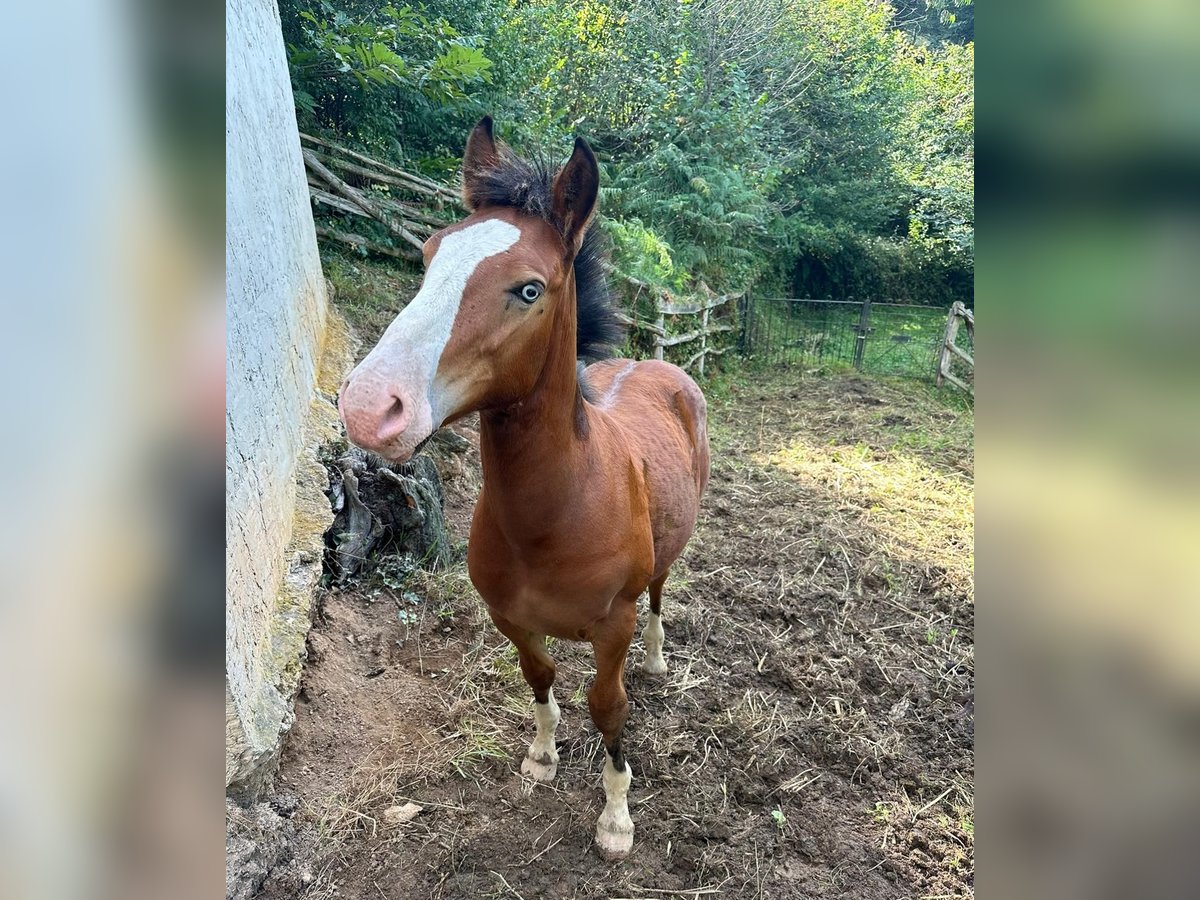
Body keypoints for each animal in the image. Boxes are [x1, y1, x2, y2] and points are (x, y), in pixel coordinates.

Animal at [338, 118, 705, 859]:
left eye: (530, 289)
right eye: (428, 256)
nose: (367, 406)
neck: (560, 515)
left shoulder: (613, 625)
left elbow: (608, 707)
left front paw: (616, 818)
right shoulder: (508, 616)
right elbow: (540, 679)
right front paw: (541, 757)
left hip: (661, 565)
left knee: (660, 595)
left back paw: (658, 661)